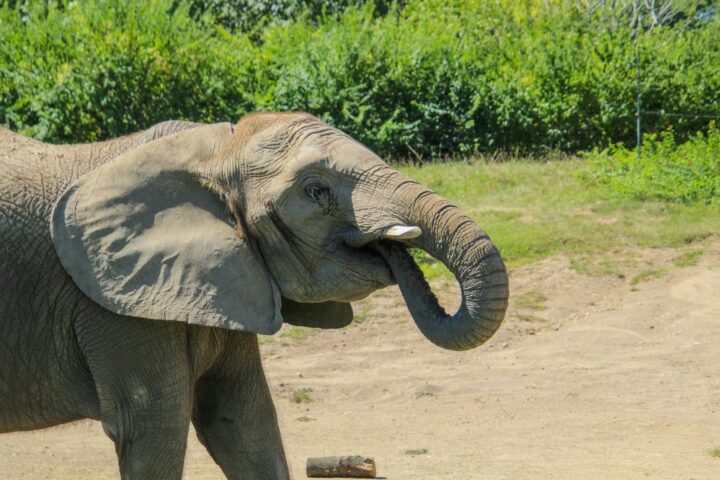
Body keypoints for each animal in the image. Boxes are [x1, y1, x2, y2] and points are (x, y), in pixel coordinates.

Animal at [0, 111, 510, 476]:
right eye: (315, 191)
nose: (392, 248)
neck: (213, 151)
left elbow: (242, 420)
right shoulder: (112, 305)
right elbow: (150, 425)